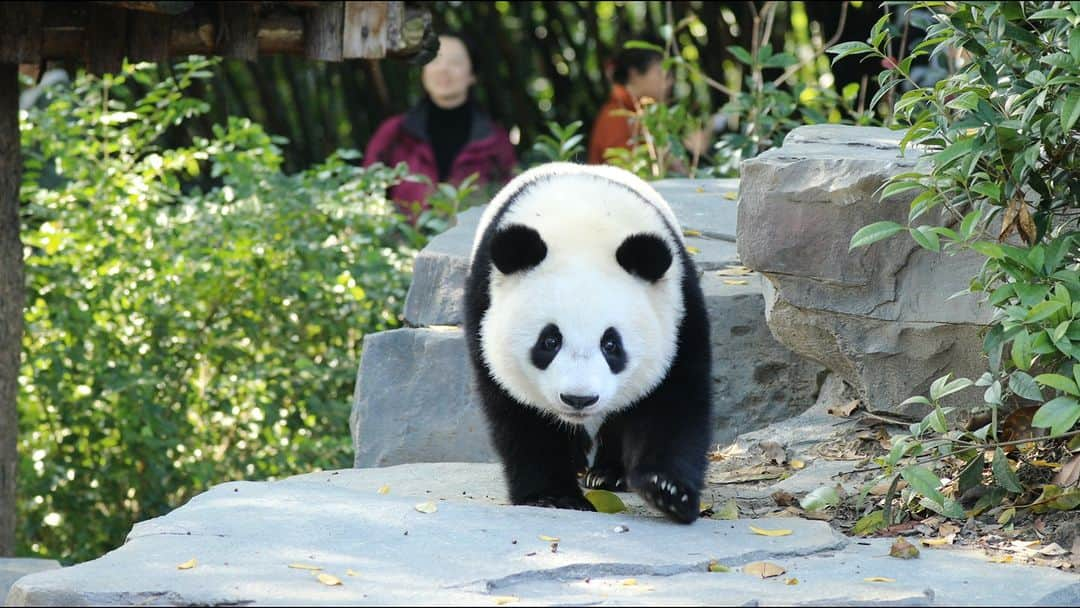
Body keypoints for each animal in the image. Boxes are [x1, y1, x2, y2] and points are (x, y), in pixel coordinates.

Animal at [462, 161, 708, 522]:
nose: (579, 399)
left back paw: (607, 473)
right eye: (549, 341)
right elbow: (520, 412)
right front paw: (552, 496)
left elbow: (674, 398)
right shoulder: (483, 309)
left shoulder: (678, 309)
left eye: (611, 345)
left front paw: (668, 490)